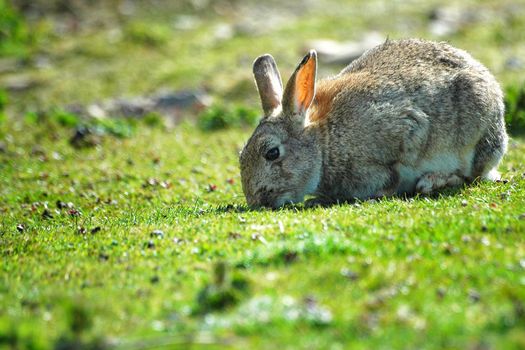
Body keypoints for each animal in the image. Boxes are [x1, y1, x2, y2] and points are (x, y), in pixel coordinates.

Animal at [238, 39, 508, 208]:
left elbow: (393, 173)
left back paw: (434, 181)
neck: (325, 144)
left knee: (471, 175)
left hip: (477, 135)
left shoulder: (405, 131)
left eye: (272, 153)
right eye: (241, 155)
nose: (256, 202)